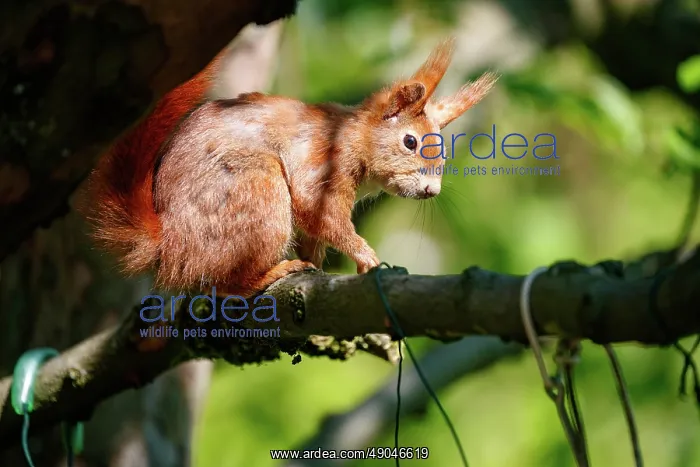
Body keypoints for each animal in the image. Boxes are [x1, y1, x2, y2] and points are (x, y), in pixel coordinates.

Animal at [82, 37, 498, 298]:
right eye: (410, 142)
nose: (432, 191)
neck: (354, 136)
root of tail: (171, 245)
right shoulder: (322, 162)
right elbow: (320, 213)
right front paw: (366, 256)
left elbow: (315, 233)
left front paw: (323, 265)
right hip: (257, 190)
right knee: (222, 285)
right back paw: (269, 274)